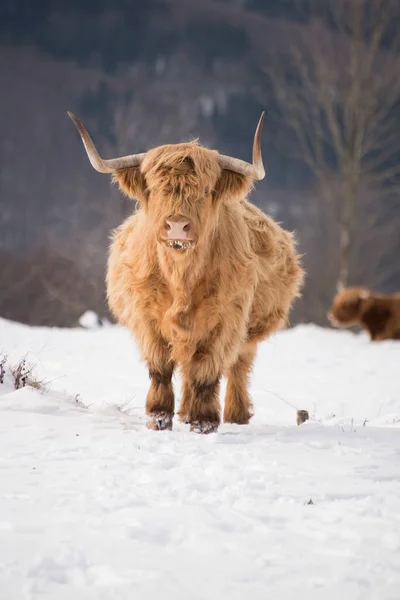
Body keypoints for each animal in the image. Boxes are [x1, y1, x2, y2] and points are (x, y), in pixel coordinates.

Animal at [69, 111, 304, 432]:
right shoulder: (147, 318)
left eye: (204, 190)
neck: (180, 278)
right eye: (155, 188)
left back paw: (233, 416)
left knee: (235, 369)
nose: (177, 226)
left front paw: (204, 422)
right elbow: (160, 368)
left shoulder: (225, 320)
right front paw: (159, 417)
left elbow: (206, 371)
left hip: (249, 333)